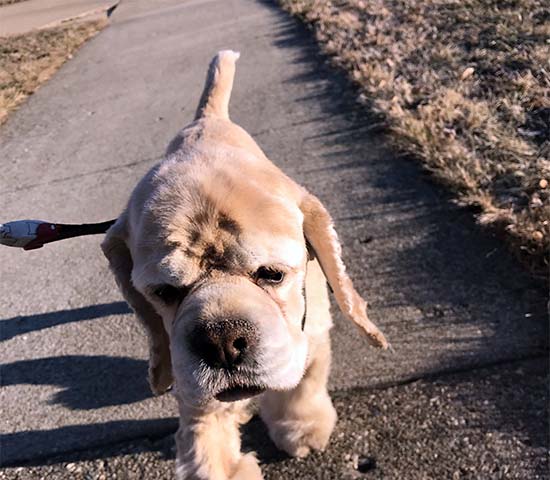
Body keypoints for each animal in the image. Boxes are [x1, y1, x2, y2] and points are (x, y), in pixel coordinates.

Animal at [101, 50, 390, 478]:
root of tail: (207, 120)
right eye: (164, 292)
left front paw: (302, 429)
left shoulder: (314, 333)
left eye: (272, 274)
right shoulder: (194, 388)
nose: (221, 341)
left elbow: (304, 383)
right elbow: (207, 449)